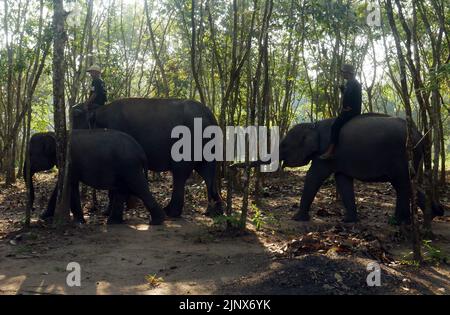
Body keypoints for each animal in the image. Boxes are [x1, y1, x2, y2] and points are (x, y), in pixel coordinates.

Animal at [24, 130, 165, 226]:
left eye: (30, 155)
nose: (32, 209)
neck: (52, 134)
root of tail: (141, 151)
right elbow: (60, 185)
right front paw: (43, 216)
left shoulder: (71, 162)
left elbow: (70, 184)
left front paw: (79, 221)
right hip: (126, 168)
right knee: (123, 190)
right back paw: (113, 222)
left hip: (130, 167)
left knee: (139, 187)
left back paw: (156, 221)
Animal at [72, 97, 225, 218]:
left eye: (76, 119)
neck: (98, 110)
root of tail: (211, 117)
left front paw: (109, 211)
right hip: (207, 146)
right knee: (207, 173)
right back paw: (214, 212)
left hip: (188, 142)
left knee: (180, 173)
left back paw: (171, 213)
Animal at [280, 113, 444, 225]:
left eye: (284, 145)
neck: (314, 125)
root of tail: (419, 134)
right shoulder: (338, 158)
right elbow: (342, 180)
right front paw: (348, 220)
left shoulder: (325, 153)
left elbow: (314, 176)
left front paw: (297, 219)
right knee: (408, 184)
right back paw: (433, 215)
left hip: (402, 155)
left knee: (402, 184)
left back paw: (398, 222)